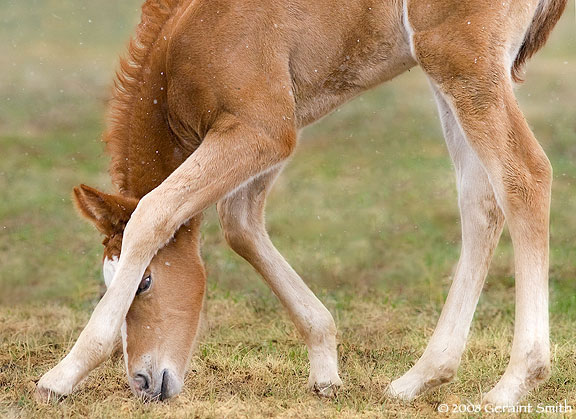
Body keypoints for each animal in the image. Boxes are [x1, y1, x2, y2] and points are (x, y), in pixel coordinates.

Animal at [37, 0, 568, 406]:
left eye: (145, 281)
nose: (145, 383)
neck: (184, 39)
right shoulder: (272, 131)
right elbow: (241, 225)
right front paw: (326, 368)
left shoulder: (261, 129)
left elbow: (153, 213)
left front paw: (62, 376)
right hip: (449, 71)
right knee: (480, 201)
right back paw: (421, 377)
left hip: (461, 57)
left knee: (525, 175)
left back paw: (514, 384)